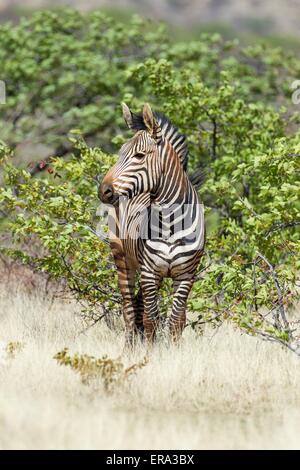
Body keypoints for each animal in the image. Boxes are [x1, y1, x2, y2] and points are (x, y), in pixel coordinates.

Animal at [98, 103, 204, 346]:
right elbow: (151, 320)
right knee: (130, 309)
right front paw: (150, 352)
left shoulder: (186, 275)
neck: (171, 223)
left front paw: (173, 352)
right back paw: (129, 348)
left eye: (139, 155)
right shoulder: (149, 272)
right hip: (123, 260)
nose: (103, 191)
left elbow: (176, 321)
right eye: (119, 153)